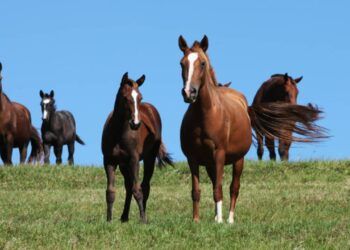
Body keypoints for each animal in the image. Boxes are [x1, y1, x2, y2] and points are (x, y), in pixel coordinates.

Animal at [101, 72, 172, 223]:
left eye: (140, 97)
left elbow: (138, 190)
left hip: (149, 158)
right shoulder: (109, 161)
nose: (136, 123)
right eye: (125, 97)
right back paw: (124, 216)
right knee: (128, 187)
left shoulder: (134, 160)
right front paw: (109, 220)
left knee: (145, 186)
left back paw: (143, 215)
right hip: (123, 164)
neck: (118, 133)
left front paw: (143, 219)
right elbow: (110, 191)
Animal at [179, 34, 326, 223]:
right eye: (182, 63)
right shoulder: (192, 158)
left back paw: (229, 219)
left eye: (203, 63)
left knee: (234, 188)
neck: (205, 115)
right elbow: (196, 191)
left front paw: (220, 222)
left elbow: (219, 190)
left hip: (238, 160)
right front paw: (196, 221)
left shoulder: (219, 155)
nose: (189, 92)